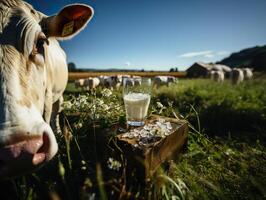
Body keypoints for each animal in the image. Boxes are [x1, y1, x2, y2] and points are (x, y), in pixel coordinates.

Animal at [0, 0, 94, 178]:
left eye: (40, 42)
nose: (17, 151)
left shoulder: (49, 95)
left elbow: (49, 114)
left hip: (59, 95)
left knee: (56, 113)